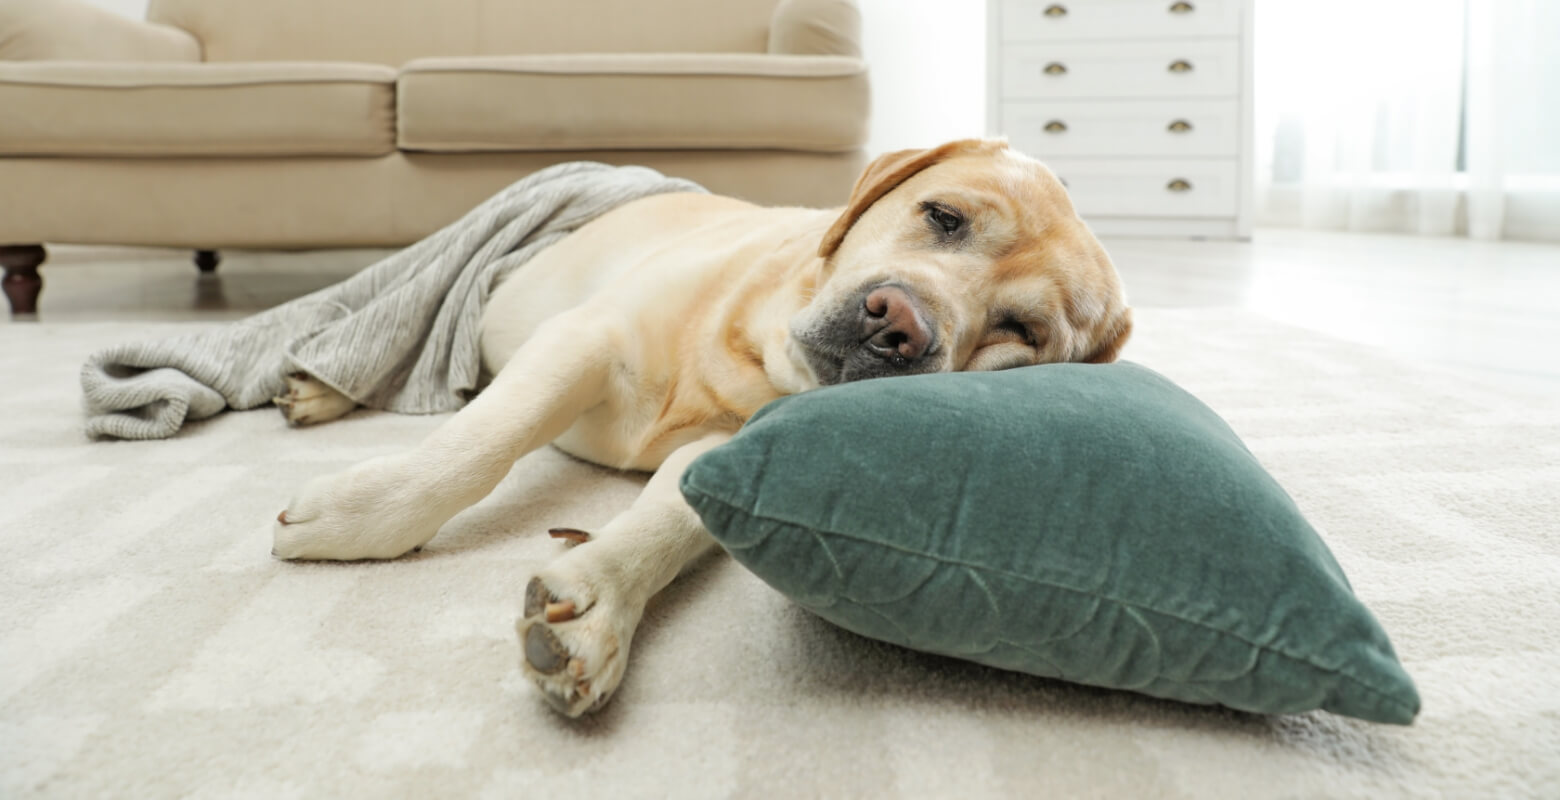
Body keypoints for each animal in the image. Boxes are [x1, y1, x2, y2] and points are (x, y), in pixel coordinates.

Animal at [271, 135, 1135, 711]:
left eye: (1022, 332)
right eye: (945, 217)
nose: (899, 325)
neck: (752, 352)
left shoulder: (729, 452)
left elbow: (667, 524)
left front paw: (598, 601)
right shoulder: (581, 340)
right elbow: (482, 444)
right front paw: (366, 513)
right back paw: (316, 386)